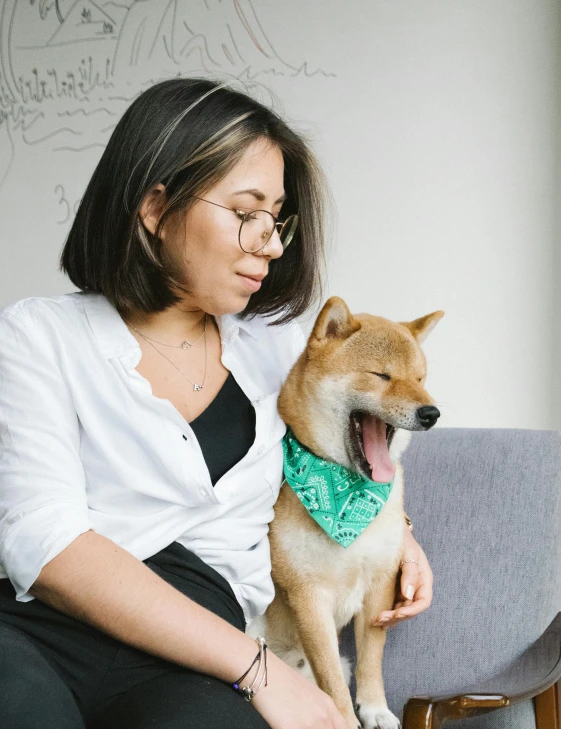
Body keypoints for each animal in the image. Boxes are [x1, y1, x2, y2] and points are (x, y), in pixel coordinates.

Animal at [247, 296, 444, 728]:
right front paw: (344, 718)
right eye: (381, 375)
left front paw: (375, 710)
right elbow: (331, 682)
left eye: (421, 378)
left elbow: (371, 661)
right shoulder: (308, 595)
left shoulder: (379, 587)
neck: (349, 501)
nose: (431, 413)